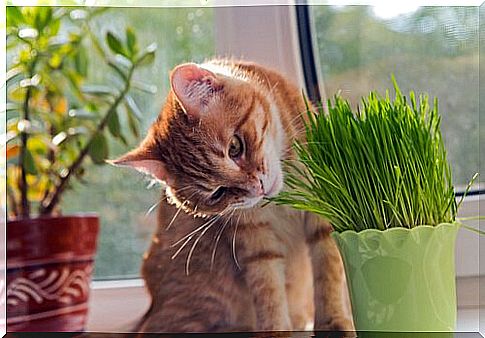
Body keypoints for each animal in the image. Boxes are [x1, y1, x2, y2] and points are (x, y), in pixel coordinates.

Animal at [113, 58, 352, 332]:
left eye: (235, 147)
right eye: (218, 193)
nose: (257, 189)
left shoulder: (324, 211)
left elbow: (328, 272)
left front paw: (334, 323)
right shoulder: (254, 241)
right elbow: (268, 292)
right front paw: (276, 330)